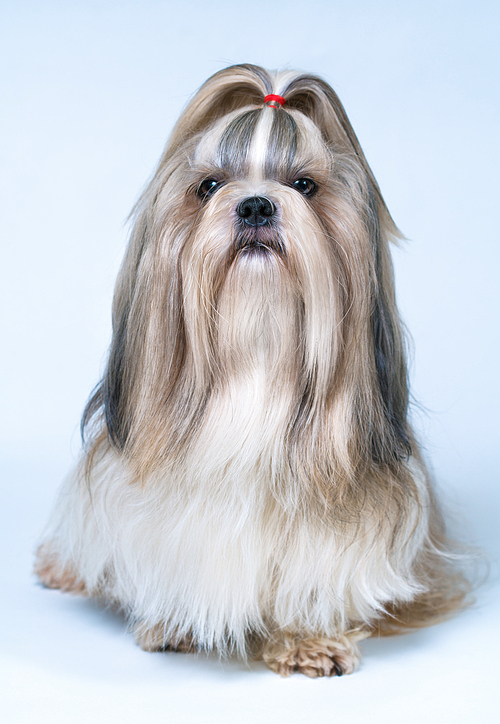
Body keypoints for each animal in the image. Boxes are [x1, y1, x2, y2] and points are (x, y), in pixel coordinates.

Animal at [36, 65, 468, 676]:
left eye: (305, 185)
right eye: (210, 186)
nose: (257, 206)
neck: (257, 359)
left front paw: (307, 637)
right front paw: (175, 621)